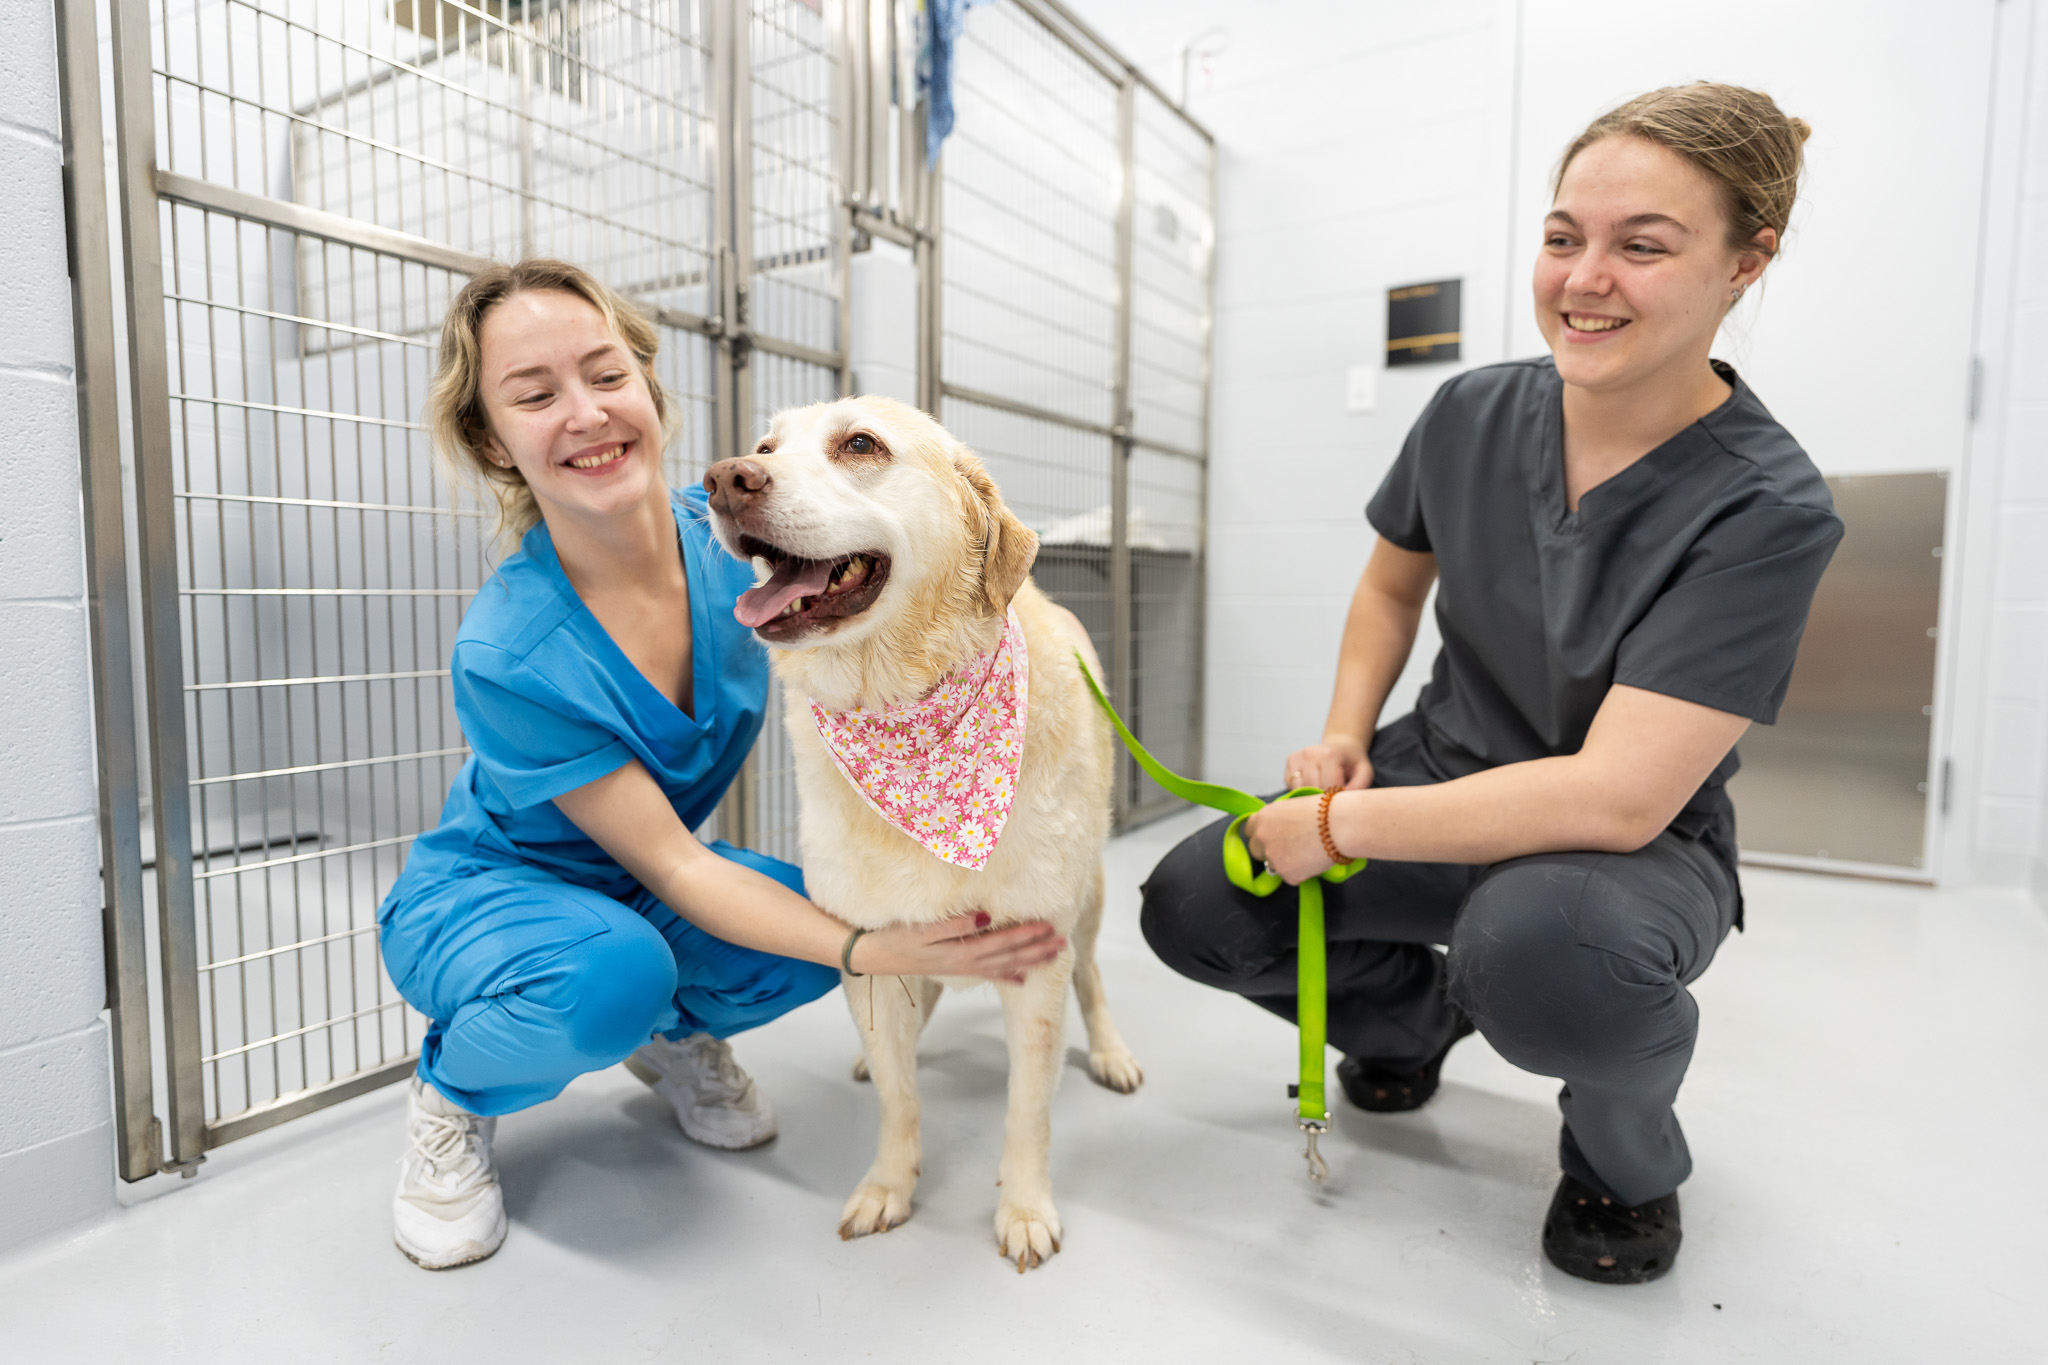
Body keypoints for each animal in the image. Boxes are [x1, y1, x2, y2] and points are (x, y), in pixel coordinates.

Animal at [704, 394, 1146, 1268]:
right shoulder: (871, 946)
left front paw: (1024, 1206)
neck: (902, 706)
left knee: (1092, 978)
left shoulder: (1036, 957)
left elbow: (1028, 1108)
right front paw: (889, 1185)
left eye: (860, 444)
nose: (725, 478)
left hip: (1087, 898)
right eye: (765, 447)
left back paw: (1110, 1051)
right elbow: (901, 1098)